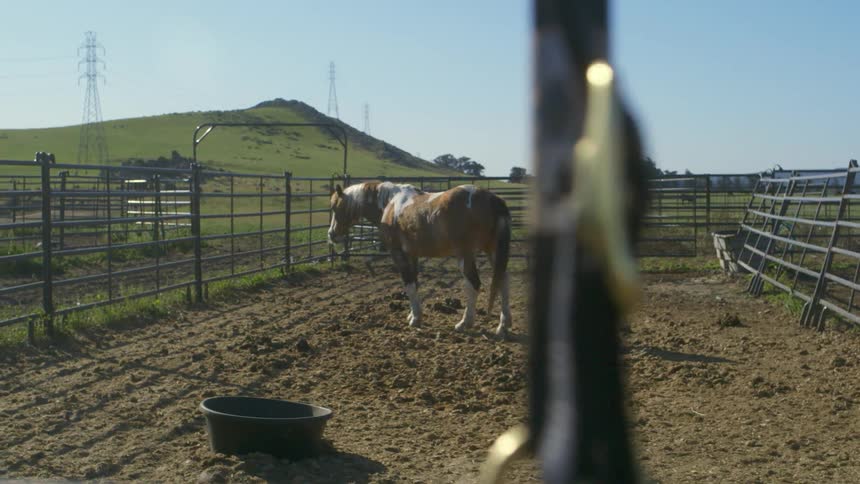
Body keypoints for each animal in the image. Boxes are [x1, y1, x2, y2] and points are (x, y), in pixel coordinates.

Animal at [328, 181, 513, 336]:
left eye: (336, 207)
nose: (331, 234)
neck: (390, 203)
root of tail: (492, 199)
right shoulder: (412, 255)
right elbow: (414, 283)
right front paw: (413, 315)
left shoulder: (398, 253)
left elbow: (408, 284)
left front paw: (415, 319)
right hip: (493, 251)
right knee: (502, 281)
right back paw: (503, 325)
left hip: (465, 254)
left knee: (474, 284)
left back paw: (464, 323)